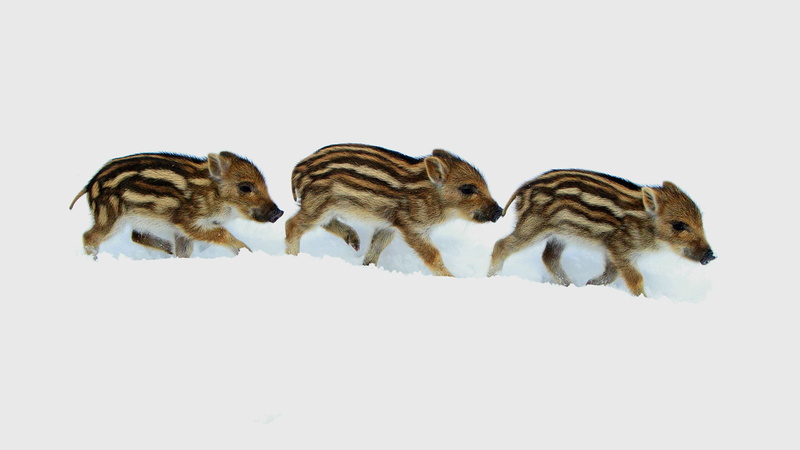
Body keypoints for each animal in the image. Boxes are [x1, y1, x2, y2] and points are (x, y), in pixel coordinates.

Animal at [70, 151, 283, 258]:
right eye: (245, 187)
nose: (278, 213)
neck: (212, 194)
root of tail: (90, 184)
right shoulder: (187, 221)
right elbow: (221, 233)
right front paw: (247, 251)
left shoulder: (181, 231)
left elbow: (184, 252)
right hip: (111, 216)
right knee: (89, 237)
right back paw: (93, 259)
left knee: (136, 235)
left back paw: (167, 250)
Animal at [285, 143, 503, 276]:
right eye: (467, 189)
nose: (499, 211)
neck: (432, 196)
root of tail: (298, 169)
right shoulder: (412, 227)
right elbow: (433, 256)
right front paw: (453, 278)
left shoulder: (388, 225)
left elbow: (375, 249)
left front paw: (367, 268)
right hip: (319, 203)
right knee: (292, 224)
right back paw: (292, 258)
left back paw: (354, 240)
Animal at [487, 169, 715, 296]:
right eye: (678, 225)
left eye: (701, 221)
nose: (710, 256)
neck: (646, 226)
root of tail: (524, 188)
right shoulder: (619, 247)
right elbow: (635, 278)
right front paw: (644, 299)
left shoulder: (612, 250)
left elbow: (612, 274)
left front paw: (590, 284)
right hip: (534, 226)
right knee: (502, 245)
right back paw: (491, 276)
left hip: (560, 234)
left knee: (549, 256)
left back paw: (571, 285)